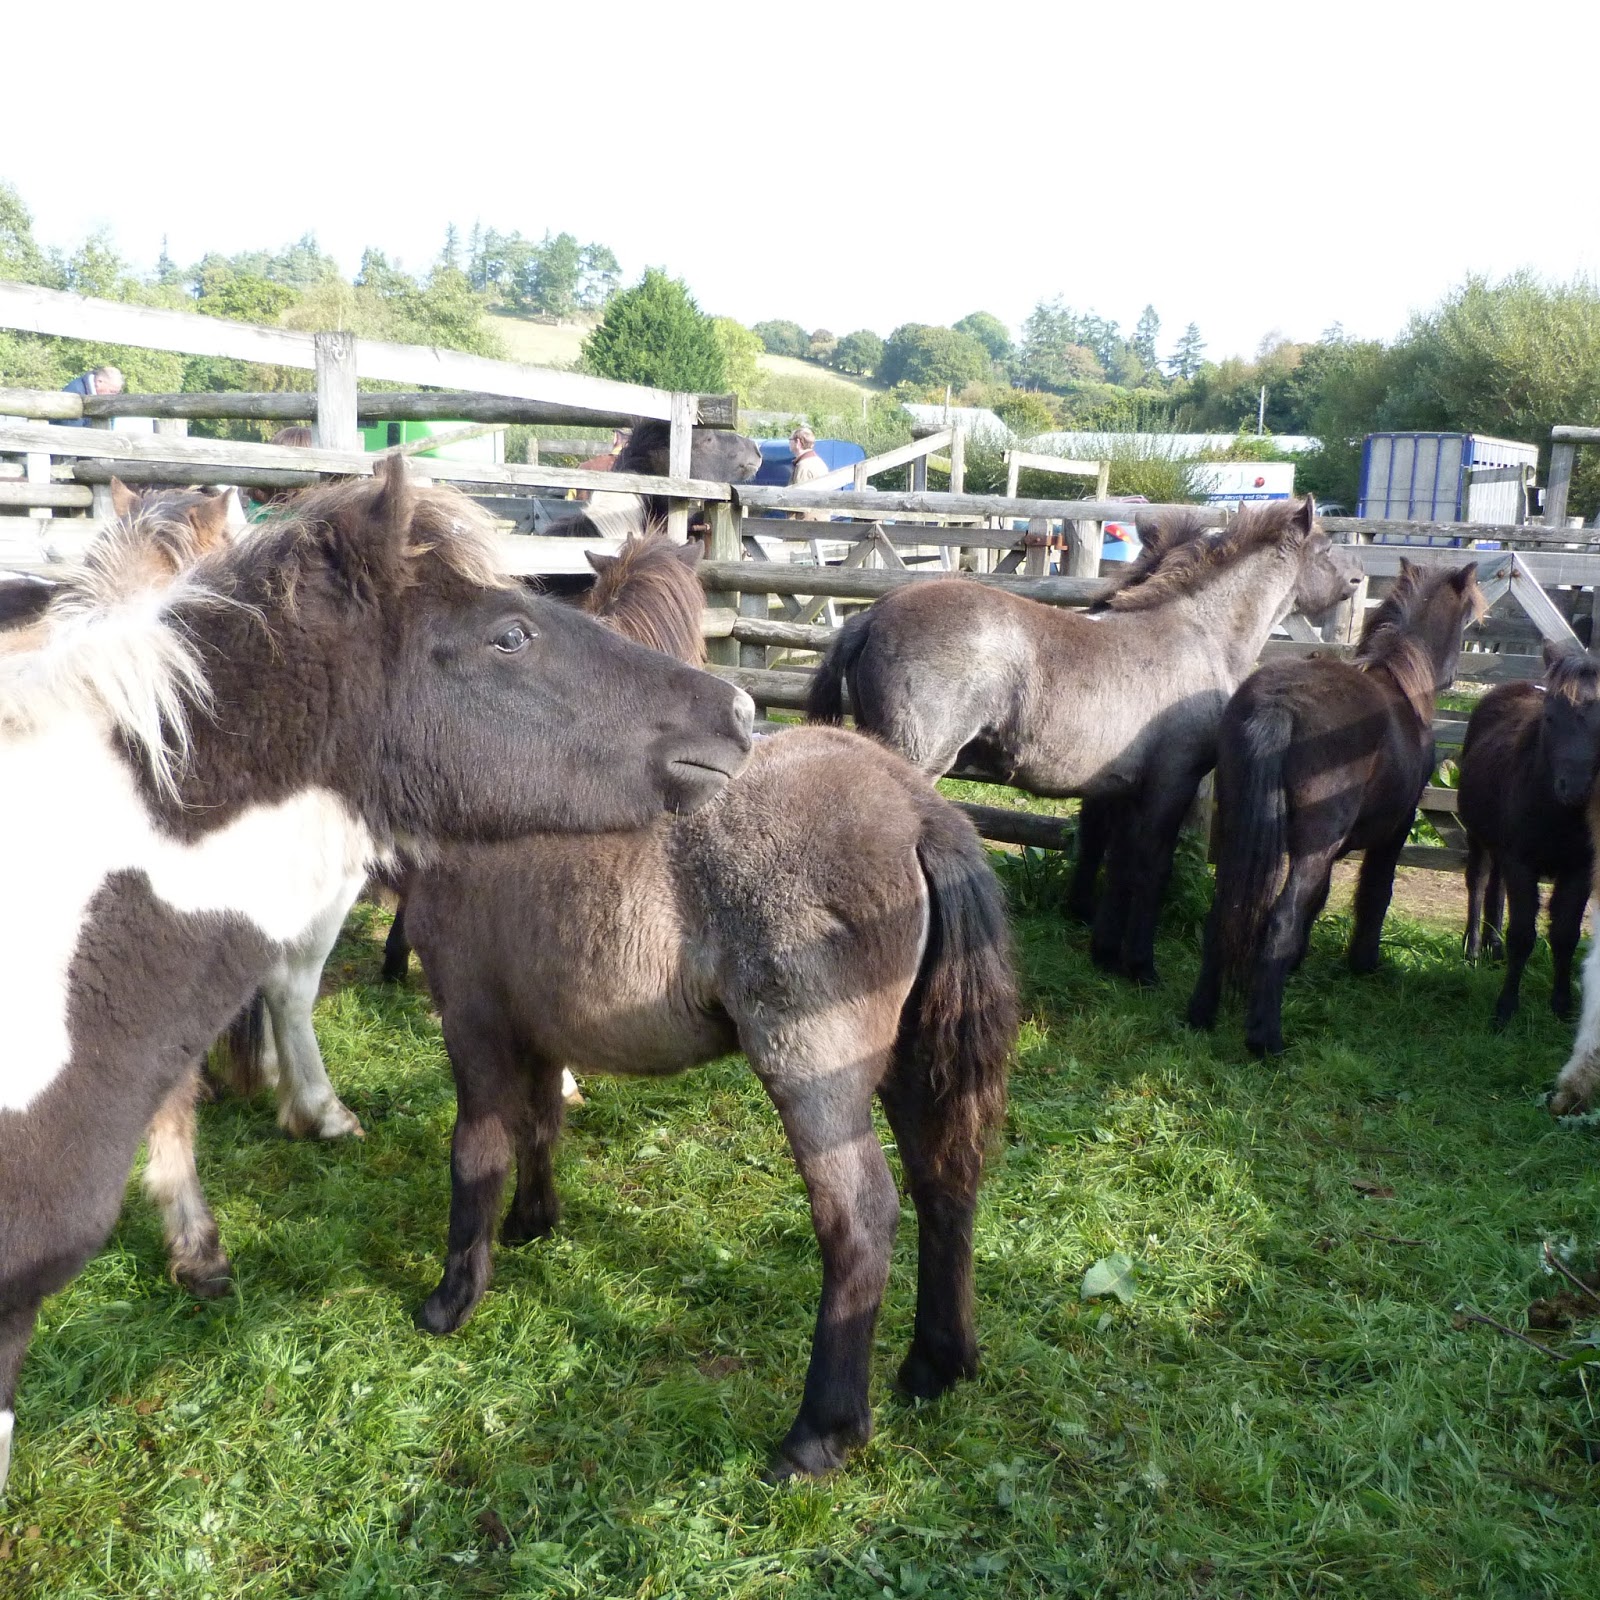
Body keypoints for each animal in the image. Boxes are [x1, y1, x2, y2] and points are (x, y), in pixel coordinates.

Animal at [808, 497, 1363, 986]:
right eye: (1325, 547)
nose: (1356, 579)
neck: (1199, 632)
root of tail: (870, 616)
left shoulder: (1121, 788)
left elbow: (1117, 863)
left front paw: (1105, 952)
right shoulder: (1172, 780)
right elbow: (1150, 865)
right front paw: (1140, 965)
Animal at [1187, 559, 1485, 1055]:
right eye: (1467, 621)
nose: (1454, 676)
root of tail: (1279, 704)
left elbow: (1320, 897)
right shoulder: (1394, 831)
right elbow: (1375, 893)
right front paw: (1364, 960)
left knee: (1225, 911)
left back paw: (1201, 1014)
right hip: (1314, 845)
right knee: (1281, 919)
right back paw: (1266, 1038)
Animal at [1458, 644, 1600, 1026]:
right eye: (1550, 718)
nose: (1574, 788)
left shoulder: (1579, 870)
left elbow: (1565, 934)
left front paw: (1563, 1006)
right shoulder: (1521, 862)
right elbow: (1522, 935)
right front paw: (1505, 1009)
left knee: (1496, 888)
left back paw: (1493, 949)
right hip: (1478, 836)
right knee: (1479, 882)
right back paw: (1473, 949)